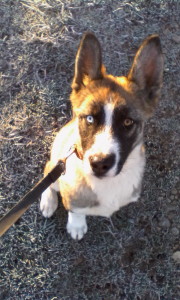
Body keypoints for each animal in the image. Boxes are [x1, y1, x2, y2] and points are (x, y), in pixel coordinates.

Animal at [40, 32, 164, 239]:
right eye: (90, 118)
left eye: (128, 122)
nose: (99, 163)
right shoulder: (71, 194)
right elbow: (75, 209)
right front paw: (76, 226)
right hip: (57, 163)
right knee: (47, 175)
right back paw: (48, 201)